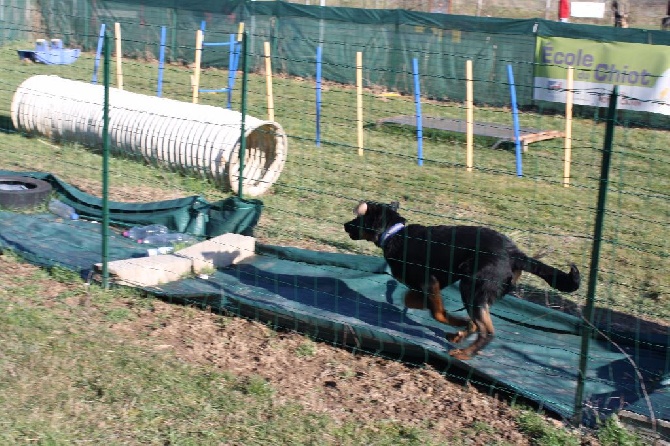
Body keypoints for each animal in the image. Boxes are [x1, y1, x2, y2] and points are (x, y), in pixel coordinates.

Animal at [344, 200, 580, 360]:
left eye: (359, 218)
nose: (346, 225)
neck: (395, 234)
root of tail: (515, 254)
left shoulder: (430, 281)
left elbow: (437, 313)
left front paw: (459, 322)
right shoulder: (431, 285)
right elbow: (412, 300)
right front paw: (460, 325)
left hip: (471, 287)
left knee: (487, 330)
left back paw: (464, 352)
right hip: (477, 290)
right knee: (480, 323)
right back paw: (460, 337)